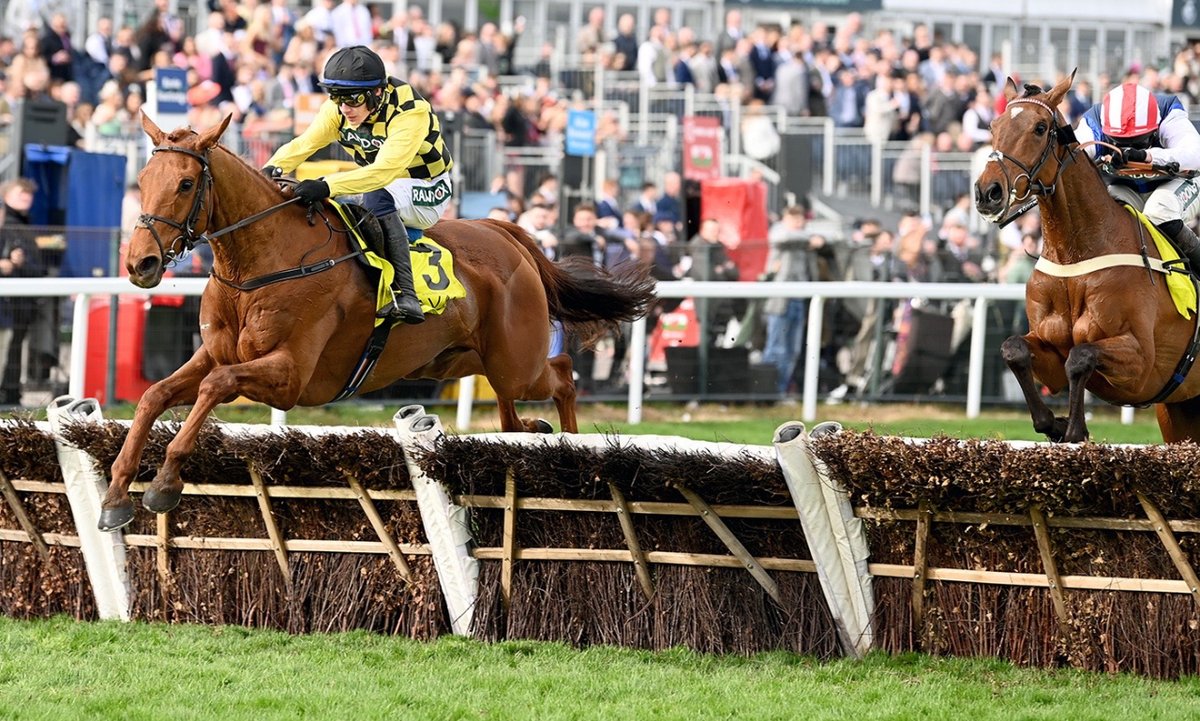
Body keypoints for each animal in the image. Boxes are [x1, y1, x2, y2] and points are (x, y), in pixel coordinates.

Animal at [93, 112, 657, 527]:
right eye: (142, 180)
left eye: (186, 183)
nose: (140, 263)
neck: (264, 261)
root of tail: (506, 232)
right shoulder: (216, 353)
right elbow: (154, 394)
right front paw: (117, 492)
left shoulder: (291, 377)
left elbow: (214, 387)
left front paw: (165, 482)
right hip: (455, 362)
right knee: (510, 413)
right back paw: (535, 430)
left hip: (517, 361)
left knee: (560, 377)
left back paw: (571, 445)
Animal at [974, 74, 1200, 443]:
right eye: (994, 126)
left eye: (1040, 128)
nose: (987, 192)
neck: (1075, 255)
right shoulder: (1049, 350)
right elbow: (1014, 349)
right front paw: (1053, 423)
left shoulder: (1142, 365)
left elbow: (1081, 356)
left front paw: (1074, 427)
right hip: (1181, 411)